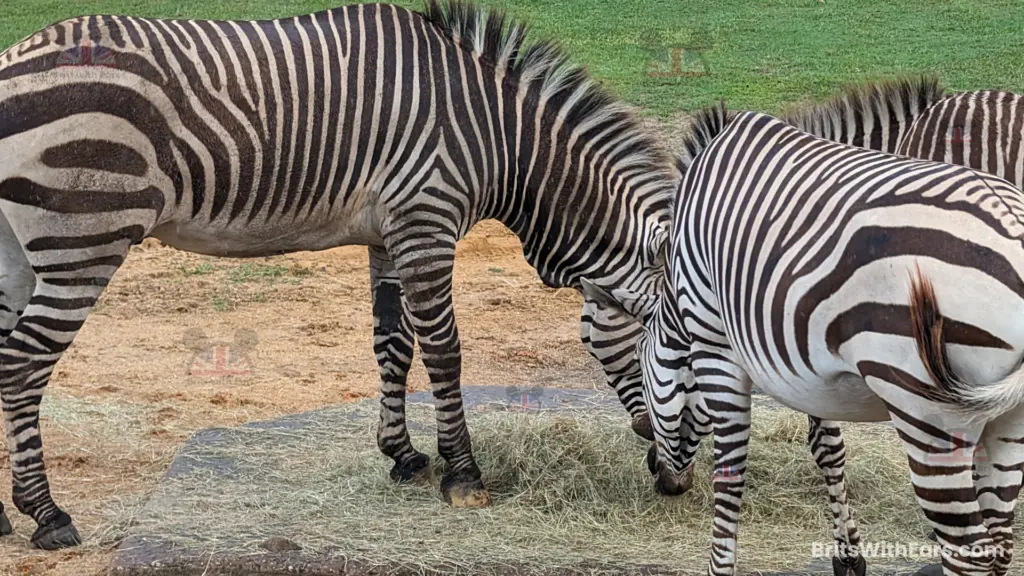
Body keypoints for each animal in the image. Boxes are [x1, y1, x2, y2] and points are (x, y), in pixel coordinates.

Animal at [0, 0, 675, 545]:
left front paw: (403, 455)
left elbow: (393, 345)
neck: (500, 137)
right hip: (85, 237)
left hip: (17, 250)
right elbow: (445, 352)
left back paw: (5, 517)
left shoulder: (389, 236)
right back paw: (47, 515)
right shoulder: (426, 220)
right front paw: (463, 474)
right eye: (678, 348)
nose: (671, 479)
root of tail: (17, 55)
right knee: (23, 364)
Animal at [585, 103, 1024, 573]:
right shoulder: (807, 367)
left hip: (927, 411)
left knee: (969, 553)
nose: (662, 479)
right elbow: (827, 447)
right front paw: (847, 555)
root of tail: (1010, 225)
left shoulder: (714, 346)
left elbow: (731, 470)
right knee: (998, 542)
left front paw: (720, 565)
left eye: (637, 365)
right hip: (1006, 418)